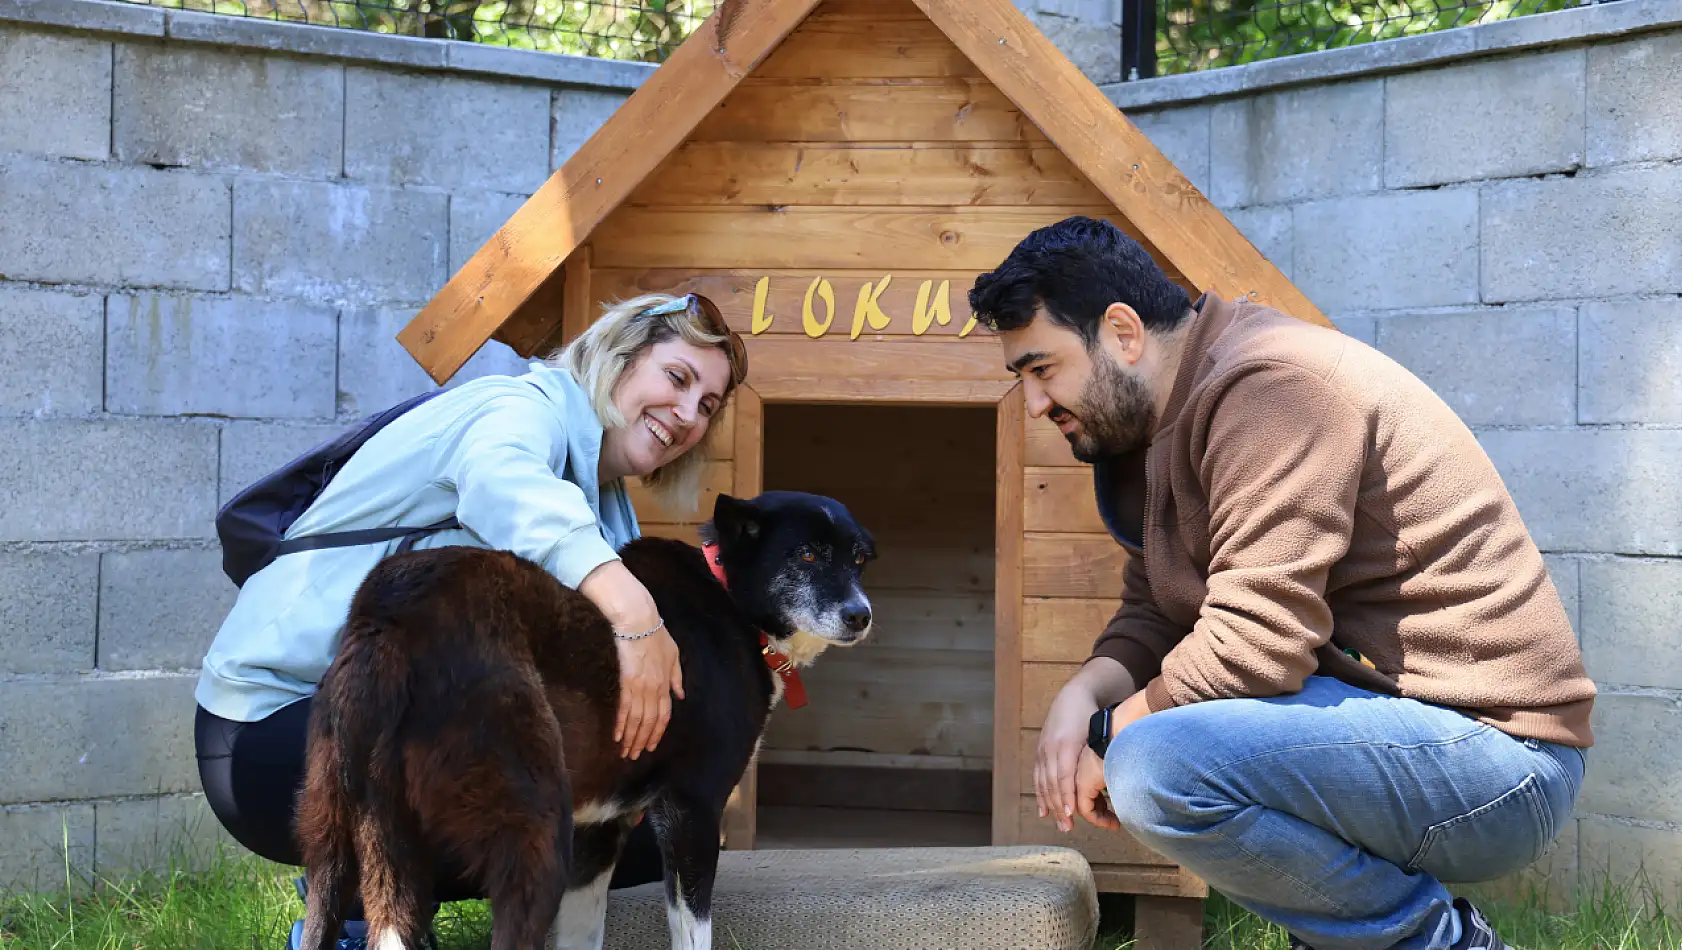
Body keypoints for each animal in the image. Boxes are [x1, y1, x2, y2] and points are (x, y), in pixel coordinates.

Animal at [290, 487, 881, 948]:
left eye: (856, 560)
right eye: (806, 555)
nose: (862, 615)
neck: (729, 596)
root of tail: (394, 621)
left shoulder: (598, 832)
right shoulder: (690, 811)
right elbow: (693, 933)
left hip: (343, 846)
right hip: (535, 838)